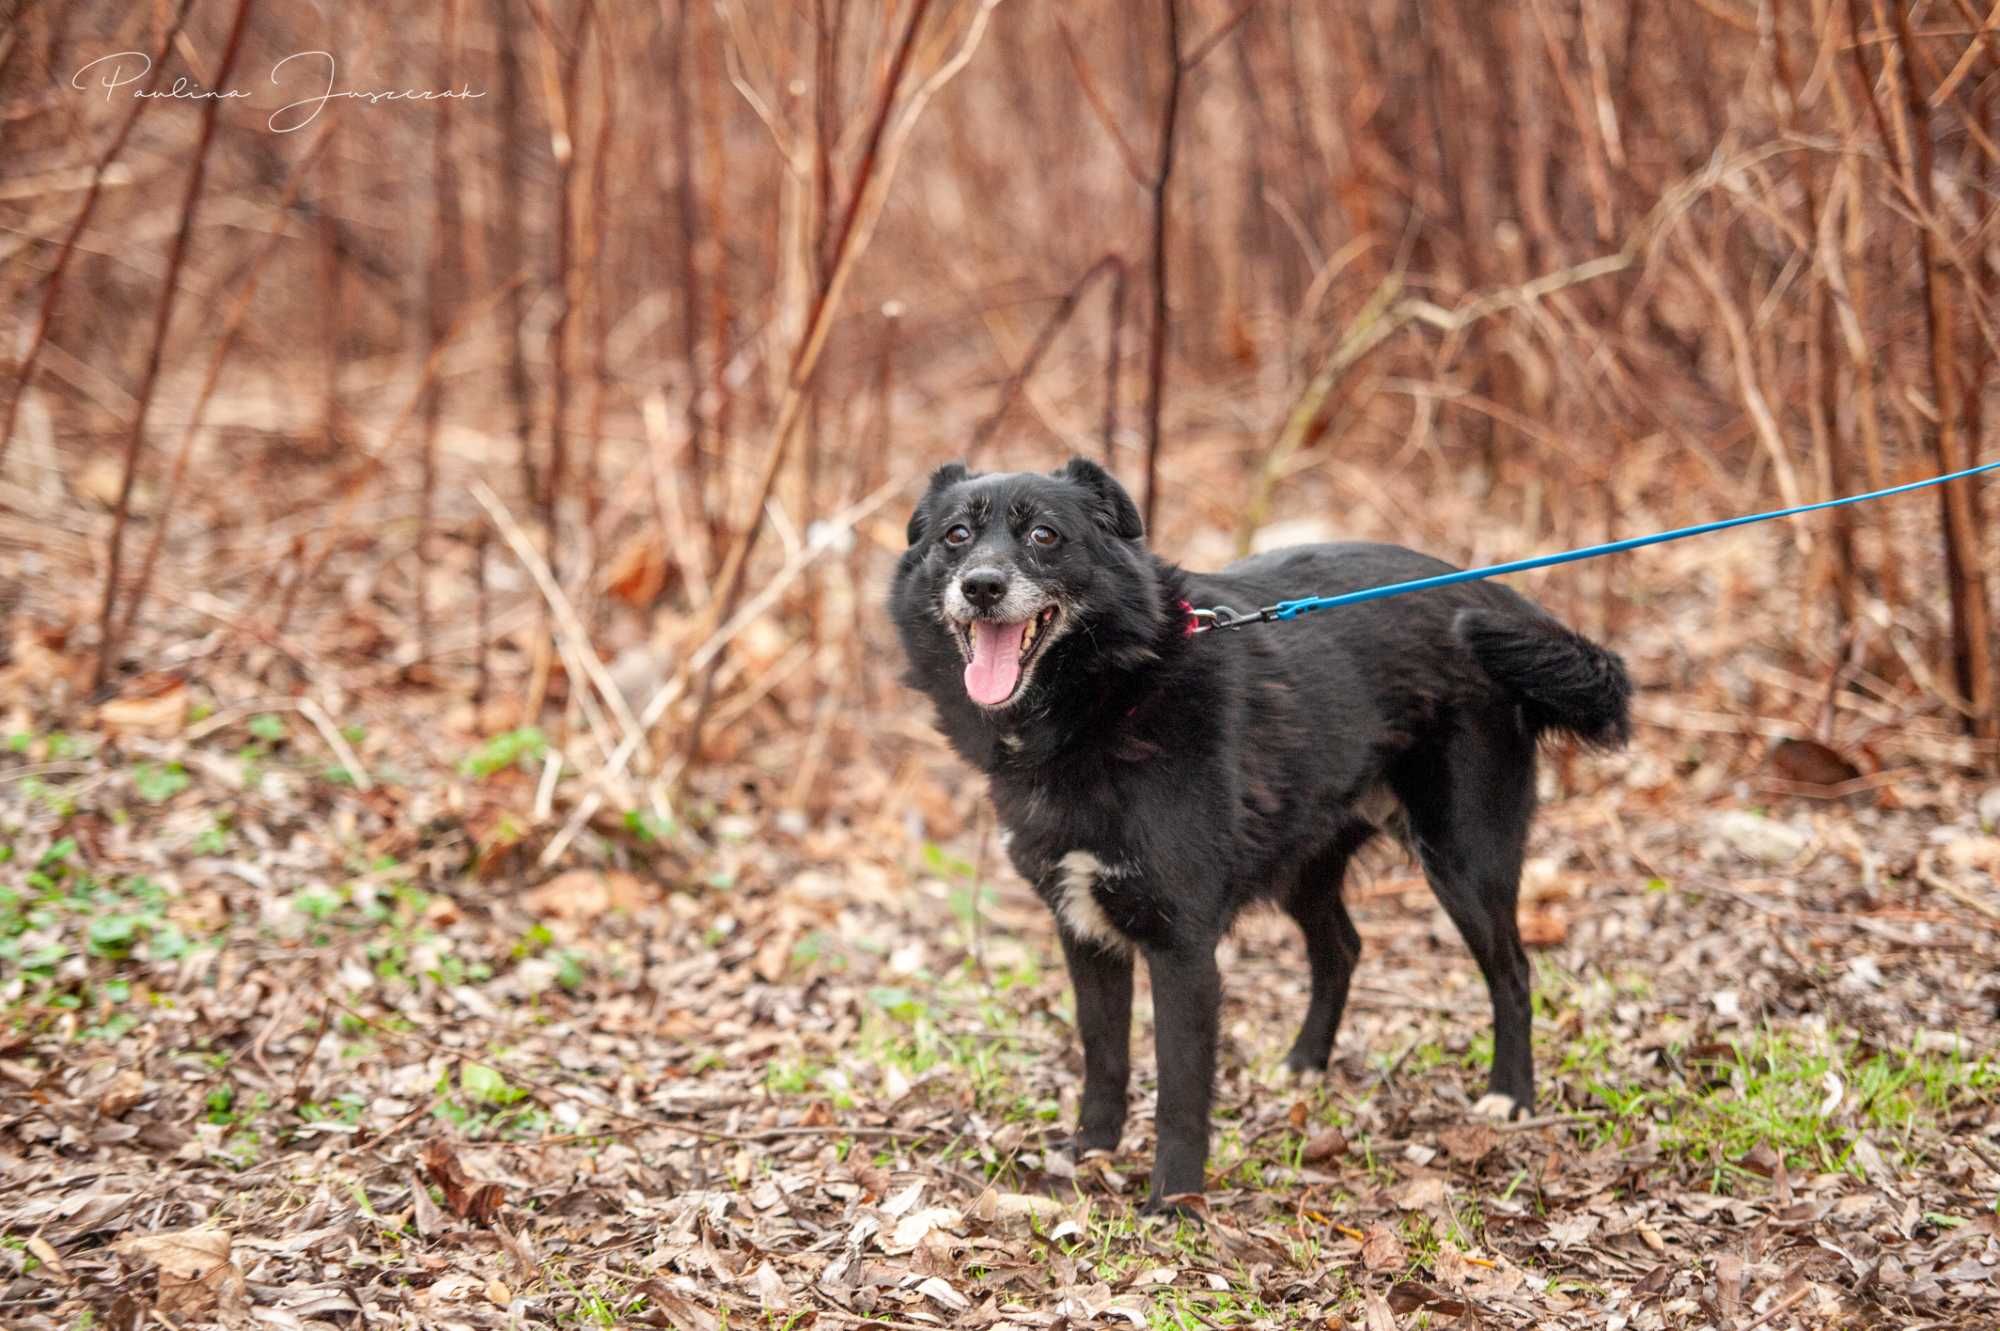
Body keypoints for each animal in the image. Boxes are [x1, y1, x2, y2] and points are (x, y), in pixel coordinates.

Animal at [892, 459, 1624, 1215]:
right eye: (955, 536)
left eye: (1044, 534)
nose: (981, 586)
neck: (1109, 696)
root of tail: (1493, 593)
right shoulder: (1085, 930)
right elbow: (1104, 1053)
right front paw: (1091, 1148)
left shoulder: (1182, 947)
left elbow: (1182, 1089)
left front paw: (1173, 1199)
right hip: (1306, 858)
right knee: (1342, 947)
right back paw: (1305, 1063)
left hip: (1463, 856)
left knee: (1513, 971)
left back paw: (1510, 1094)